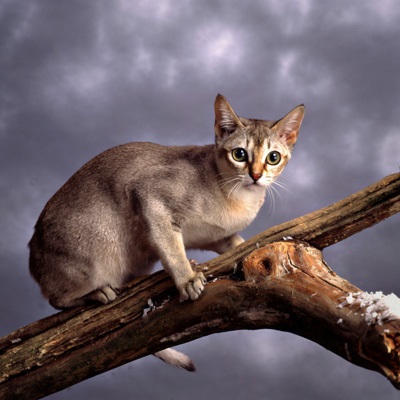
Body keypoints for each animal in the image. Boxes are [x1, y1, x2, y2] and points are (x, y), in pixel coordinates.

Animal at [28, 94, 304, 368]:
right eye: (239, 154)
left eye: (273, 157)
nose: (255, 175)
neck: (238, 198)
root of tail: (33, 258)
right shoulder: (148, 195)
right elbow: (171, 250)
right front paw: (187, 279)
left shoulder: (216, 235)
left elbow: (236, 242)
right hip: (99, 254)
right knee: (55, 299)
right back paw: (97, 293)